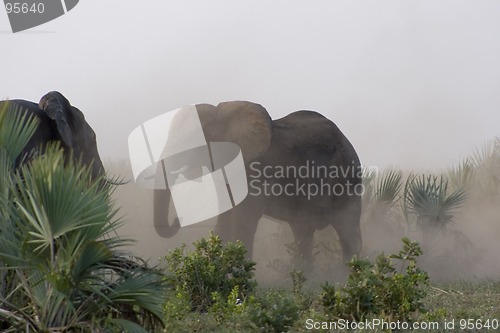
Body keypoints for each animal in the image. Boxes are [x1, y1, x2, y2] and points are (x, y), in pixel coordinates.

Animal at [154, 101, 362, 264]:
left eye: (192, 139)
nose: (177, 219)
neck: (222, 115)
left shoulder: (254, 171)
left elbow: (243, 222)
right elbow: (224, 220)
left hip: (347, 181)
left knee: (349, 233)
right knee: (303, 233)